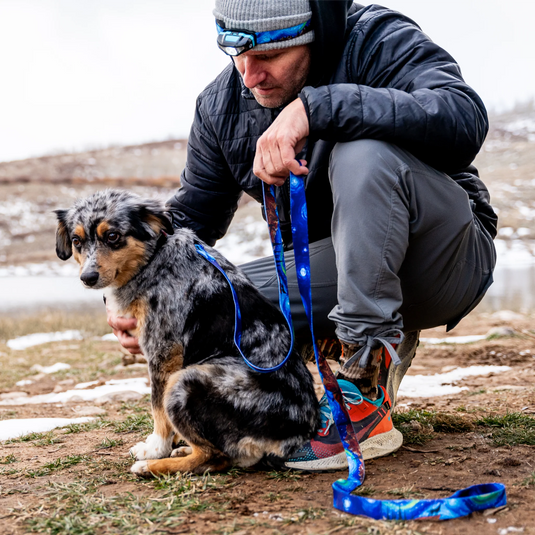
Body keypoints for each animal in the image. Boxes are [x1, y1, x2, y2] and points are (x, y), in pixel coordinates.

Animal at [55, 191, 318, 476]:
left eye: (113, 236)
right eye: (77, 241)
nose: (88, 277)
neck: (153, 260)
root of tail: (300, 430)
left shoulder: (163, 350)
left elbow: (157, 408)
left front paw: (156, 447)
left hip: (185, 382)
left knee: (214, 457)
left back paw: (151, 465)